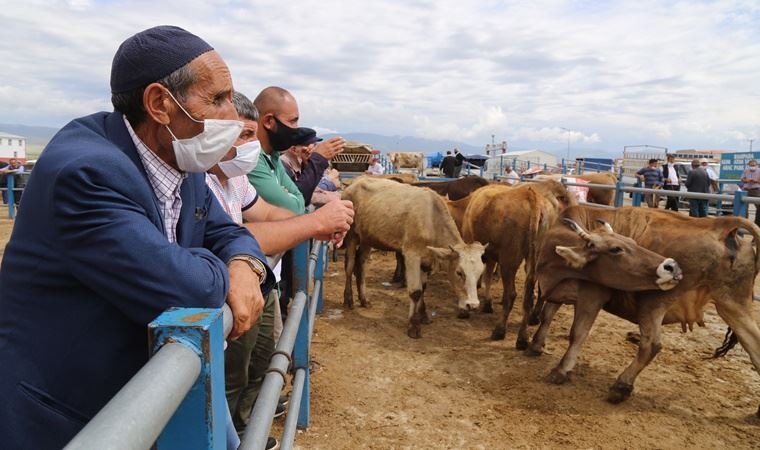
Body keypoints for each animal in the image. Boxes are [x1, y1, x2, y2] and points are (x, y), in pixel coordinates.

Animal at [342, 176, 486, 338]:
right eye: (459, 272)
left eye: (480, 273)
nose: (472, 305)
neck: (431, 219)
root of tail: (355, 182)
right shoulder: (412, 256)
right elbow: (415, 291)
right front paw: (413, 326)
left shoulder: (425, 261)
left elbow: (423, 288)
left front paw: (423, 315)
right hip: (351, 234)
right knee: (350, 266)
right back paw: (349, 300)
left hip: (368, 239)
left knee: (360, 264)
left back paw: (364, 299)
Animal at [464, 179, 576, 344]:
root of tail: (532, 198)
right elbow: (488, 274)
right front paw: (487, 303)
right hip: (536, 257)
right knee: (531, 293)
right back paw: (524, 334)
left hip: (509, 259)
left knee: (511, 294)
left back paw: (500, 330)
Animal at [528, 206, 760, 414]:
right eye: (616, 248)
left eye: (632, 243)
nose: (673, 266)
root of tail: (721, 226)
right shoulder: (559, 287)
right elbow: (547, 315)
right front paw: (536, 345)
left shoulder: (592, 295)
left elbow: (578, 333)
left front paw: (561, 370)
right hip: (733, 305)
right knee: (755, 348)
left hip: (654, 302)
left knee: (651, 345)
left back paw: (621, 386)